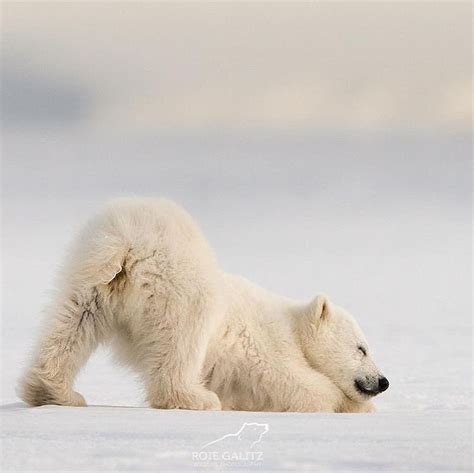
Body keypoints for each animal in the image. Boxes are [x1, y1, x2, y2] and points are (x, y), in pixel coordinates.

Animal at [19, 197, 388, 412]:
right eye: (362, 348)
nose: (383, 381)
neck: (293, 326)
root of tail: (129, 240)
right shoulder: (266, 343)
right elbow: (285, 378)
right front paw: (341, 403)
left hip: (92, 275)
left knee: (73, 322)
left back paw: (53, 391)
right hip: (178, 283)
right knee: (182, 338)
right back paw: (195, 398)